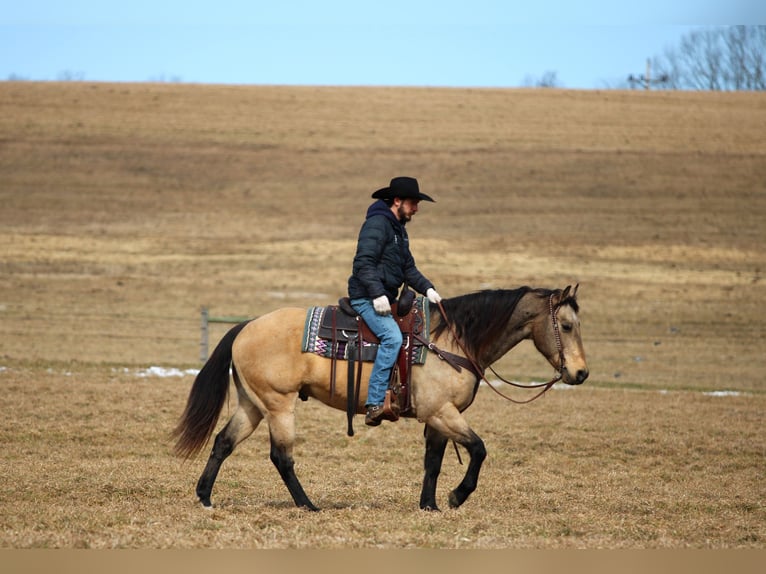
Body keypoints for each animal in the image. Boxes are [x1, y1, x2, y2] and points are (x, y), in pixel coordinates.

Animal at [172, 284, 588, 512]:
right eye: (567, 326)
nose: (581, 373)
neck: (451, 341)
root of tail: (246, 326)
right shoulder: (443, 412)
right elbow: (479, 449)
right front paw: (457, 497)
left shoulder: (437, 417)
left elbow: (433, 463)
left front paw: (429, 505)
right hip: (278, 405)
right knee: (281, 457)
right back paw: (308, 505)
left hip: (252, 404)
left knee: (223, 443)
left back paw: (205, 497)